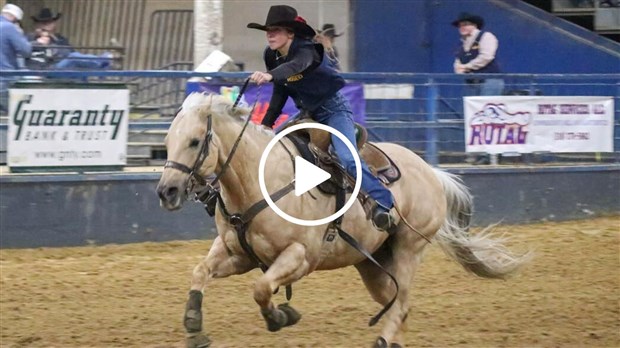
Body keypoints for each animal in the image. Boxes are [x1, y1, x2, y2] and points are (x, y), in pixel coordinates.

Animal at [157, 92, 532, 348]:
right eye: (167, 142)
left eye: (195, 141)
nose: (166, 191)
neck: (261, 181)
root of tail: (432, 172)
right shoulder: (238, 253)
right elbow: (200, 272)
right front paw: (194, 326)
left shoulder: (301, 257)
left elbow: (261, 288)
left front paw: (281, 316)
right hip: (372, 264)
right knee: (399, 305)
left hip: (409, 248)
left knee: (403, 301)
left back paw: (382, 340)